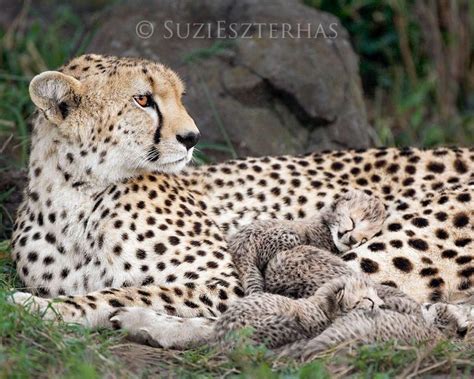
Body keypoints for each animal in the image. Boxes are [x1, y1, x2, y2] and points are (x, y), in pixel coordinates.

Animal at [9, 55, 472, 340]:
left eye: (178, 97)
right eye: (143, 99)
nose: (192, 137)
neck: (76, 195)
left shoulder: (227, 278)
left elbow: (130, 291)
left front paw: (40, 308)